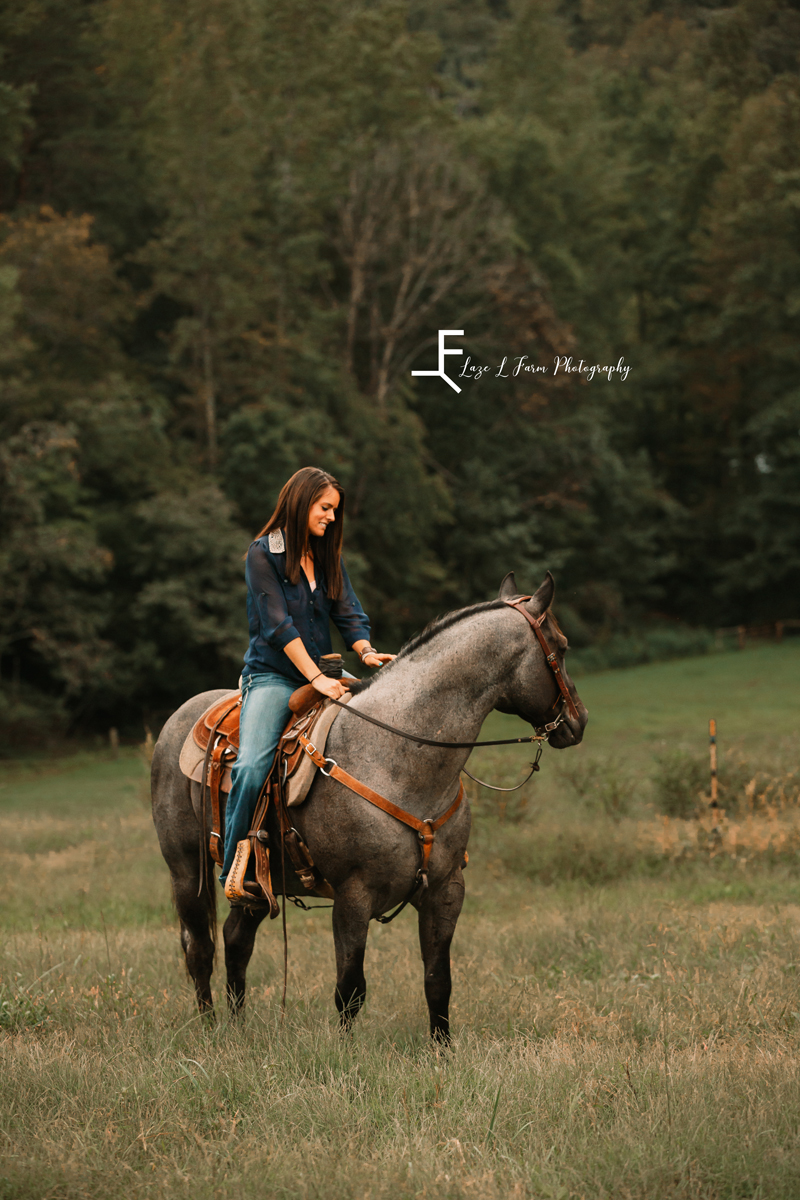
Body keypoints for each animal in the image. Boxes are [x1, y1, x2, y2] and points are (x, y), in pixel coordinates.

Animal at [151, 566, 587, 1036]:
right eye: (562, 647)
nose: (579, 720)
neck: (396, 757)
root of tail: (183, 716)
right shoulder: (353, 896)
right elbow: (350, 989)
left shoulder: (446, 890)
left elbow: (438, 980)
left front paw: (442, 1047)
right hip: (185, 871)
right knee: (200, 948)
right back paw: (211, 1028)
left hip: (254, 885)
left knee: (235, 940)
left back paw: (238, 1029)